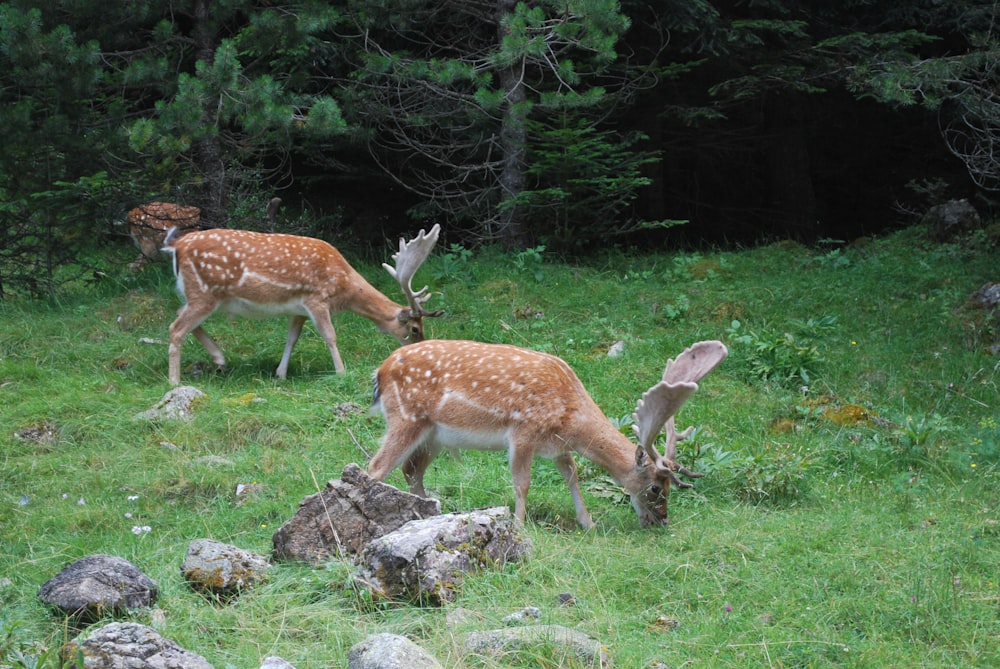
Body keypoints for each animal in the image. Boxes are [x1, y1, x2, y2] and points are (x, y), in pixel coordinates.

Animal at [161, 224, 442, 384]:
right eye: (415, 329)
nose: (421, 350)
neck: (344, 286)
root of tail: (176, 245)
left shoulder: (298, 309)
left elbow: (292, 338)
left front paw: (280, 374)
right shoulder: (316, 298)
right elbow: (330, 336)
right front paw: (341, 372)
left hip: (198, 295)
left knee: (179, 317)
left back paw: (219, 359)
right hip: (204, 293)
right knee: (175, 328)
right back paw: (174, 382)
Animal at [368, 340, 728, 528]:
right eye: (655, 487)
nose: (662, 520)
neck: (571, 420)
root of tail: (380, 371)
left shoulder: (557, 447)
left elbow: (572, 475)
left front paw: (587, 523)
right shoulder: (523, 432)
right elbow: (522, 483)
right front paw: (518, 525)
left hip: (434, 436)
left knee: (410, 470)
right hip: (407, 417)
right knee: (376, 467)